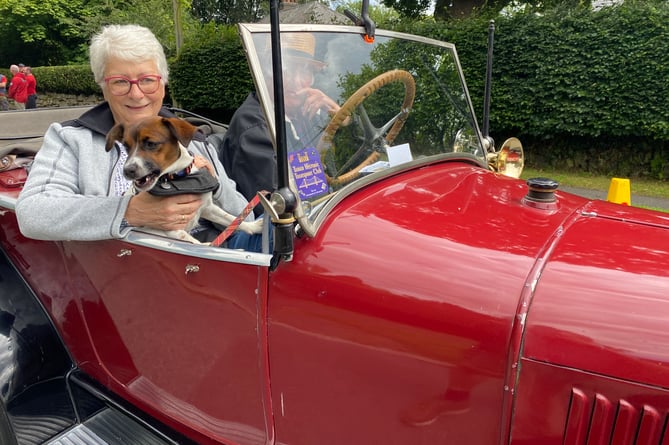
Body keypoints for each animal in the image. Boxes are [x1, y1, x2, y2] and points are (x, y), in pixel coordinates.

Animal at [105, 116, 262, 243]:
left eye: (151, 144)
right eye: (126, 146)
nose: (127, 170)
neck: (177, 177)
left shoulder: (207, 208)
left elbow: (231, 218)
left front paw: (253, 226)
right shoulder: (170, 227)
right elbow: (196, 244)